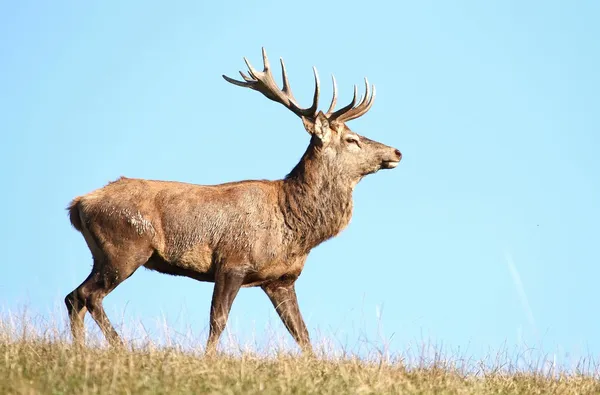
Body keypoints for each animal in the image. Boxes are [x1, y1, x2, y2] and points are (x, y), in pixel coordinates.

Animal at [64, 48, 404, 354]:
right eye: (352, 139)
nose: (397, 151)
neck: (294, 227)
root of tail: (77, 205)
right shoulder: (232, 261)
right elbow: (218, 320)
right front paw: (208, 359)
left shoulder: (281, 279)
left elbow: (301, 332)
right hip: (125, 248)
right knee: (89, 296)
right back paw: (118, 346)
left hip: (103, 254)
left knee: (74, 297)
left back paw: (80, 349)